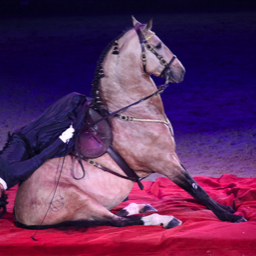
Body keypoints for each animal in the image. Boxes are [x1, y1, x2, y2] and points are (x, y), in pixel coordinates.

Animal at [13, 16, 246, 230]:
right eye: (158, 45)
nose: (181, 71)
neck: (132, 113)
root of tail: (18, 214)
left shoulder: (172, 157)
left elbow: (196, 185)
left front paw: (226, 208)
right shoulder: (164, 162)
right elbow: (196, 189)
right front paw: (230, 217)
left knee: (117, 216)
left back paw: (139, 206)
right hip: (80, 199)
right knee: (116, 221)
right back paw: (163, 219)